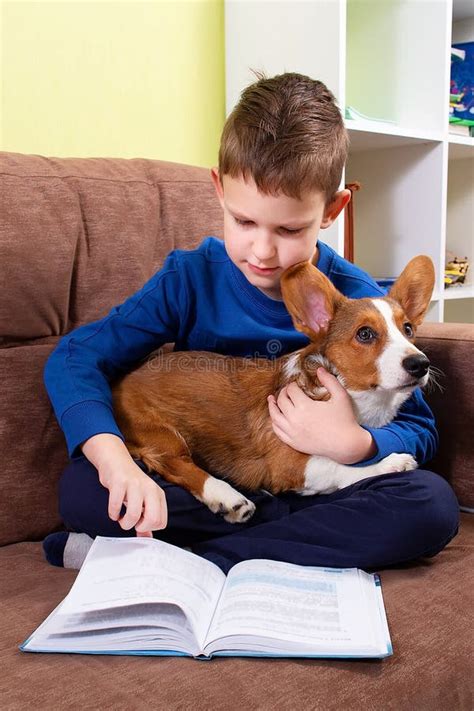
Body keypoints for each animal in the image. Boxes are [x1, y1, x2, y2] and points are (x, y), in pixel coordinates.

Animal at [110, 254, 434, 524]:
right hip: (163, 435)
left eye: (407, 329)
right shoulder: (294, 465)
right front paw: (393, 462)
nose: (421, 364)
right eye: (365, 334)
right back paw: (227, 497)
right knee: (175, 465)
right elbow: (346, 469)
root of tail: (118, 383)